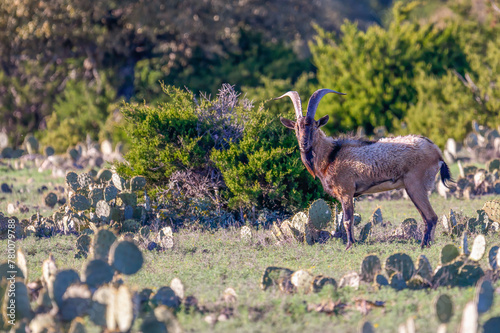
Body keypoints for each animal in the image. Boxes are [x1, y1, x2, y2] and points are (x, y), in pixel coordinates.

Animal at [278, 88, 454, 249]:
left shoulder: (346, 192)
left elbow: (347, 220)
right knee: (427, 217)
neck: (331, 155)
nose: (304, 144)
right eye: (297, 127)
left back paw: (424, 245)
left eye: (314, 126)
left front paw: (350, 245)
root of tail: (437, 152)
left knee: (431, 217)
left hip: (415, 185)